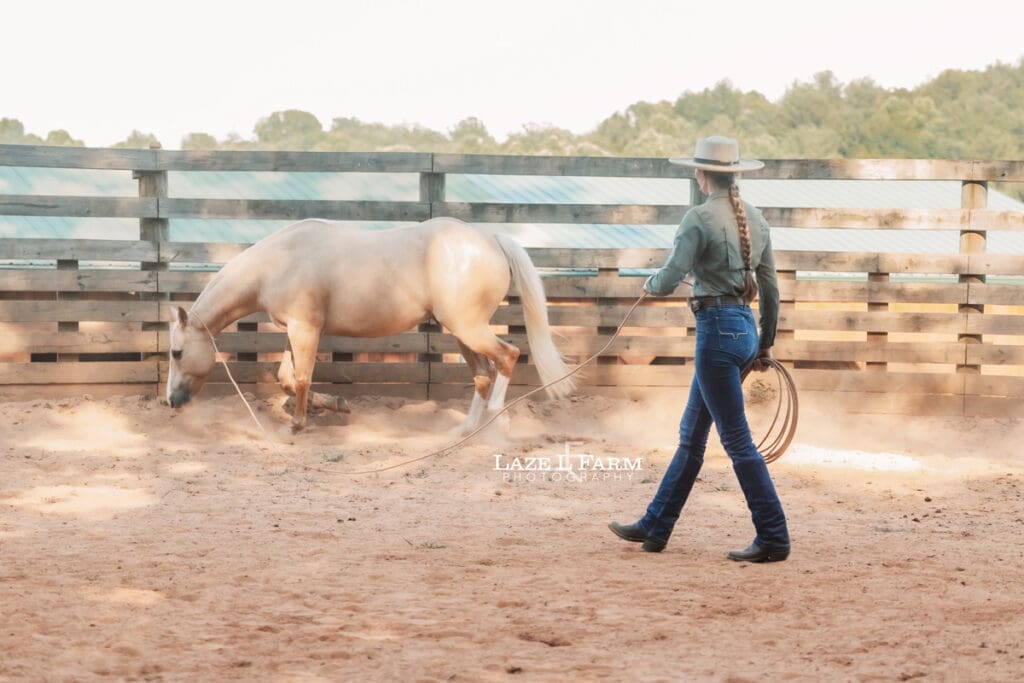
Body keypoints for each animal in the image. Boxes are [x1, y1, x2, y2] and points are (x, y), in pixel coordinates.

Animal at [166, 217, 574, 432]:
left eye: (176, 352)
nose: (171, 401)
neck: (279, 261)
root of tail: (491, 238)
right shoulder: (293, 330)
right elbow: (286, 379)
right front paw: (337, 405)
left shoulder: (305, 329)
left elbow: (302, 379)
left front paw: (297, 424)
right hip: (461, 332)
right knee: (483, 374)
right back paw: (463, 430)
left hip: (469, 329)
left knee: (508, 356)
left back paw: (494, 420)